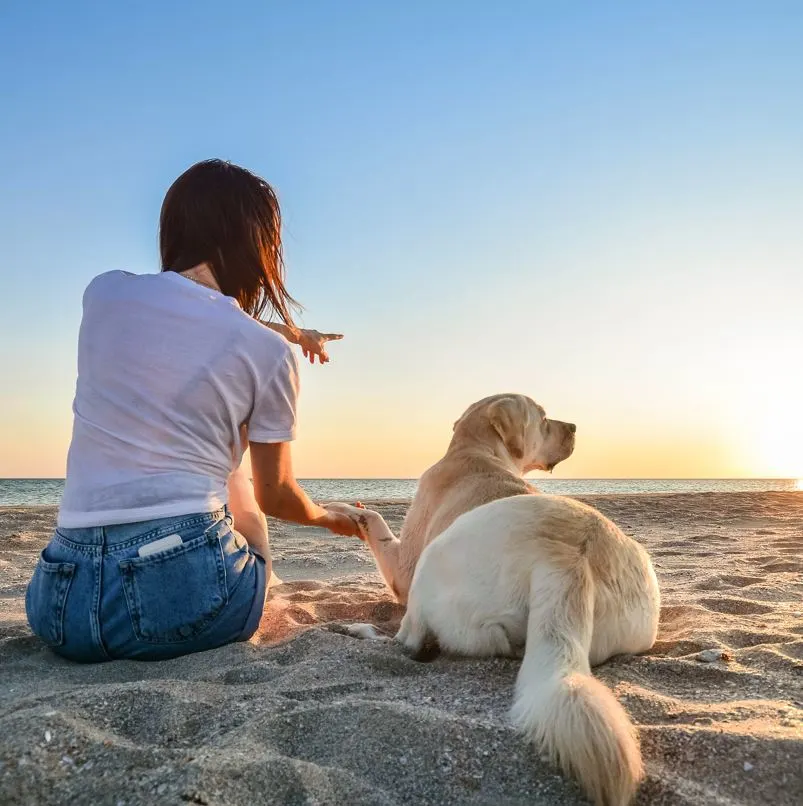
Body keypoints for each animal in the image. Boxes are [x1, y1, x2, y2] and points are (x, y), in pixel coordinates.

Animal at [326, 394, 660, 804]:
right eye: (544, 419)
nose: (574, 427)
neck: (477, 449)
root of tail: (567, 560)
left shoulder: (403, 568)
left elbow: (373, 519)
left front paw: (344, 510)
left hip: (431, 569)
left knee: (409, 639)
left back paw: (357, 629)